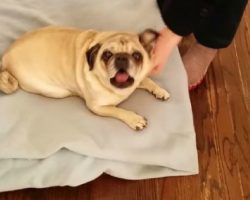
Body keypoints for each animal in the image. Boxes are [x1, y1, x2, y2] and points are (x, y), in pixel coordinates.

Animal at [0, 25, 170, 130]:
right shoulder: (97, 107)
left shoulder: (137, 79)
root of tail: (6, 55)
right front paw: (134, 119)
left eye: (137, 56)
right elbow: (118, 111)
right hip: (57, 92)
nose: (121, 58)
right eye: (107, 55)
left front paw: (159, 90)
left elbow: (148, 81)